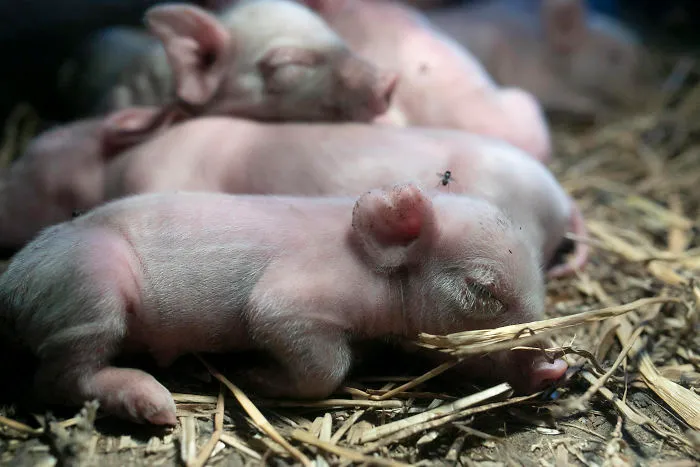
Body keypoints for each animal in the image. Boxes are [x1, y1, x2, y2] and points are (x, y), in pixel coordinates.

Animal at [0, 184, 569, 425]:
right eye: (483, 290)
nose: (555, 367)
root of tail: (11, 283)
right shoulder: (289, 301)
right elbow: (322, 361)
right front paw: (254, 376)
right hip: (91, 290)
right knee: (55, 380)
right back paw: (157, 406)